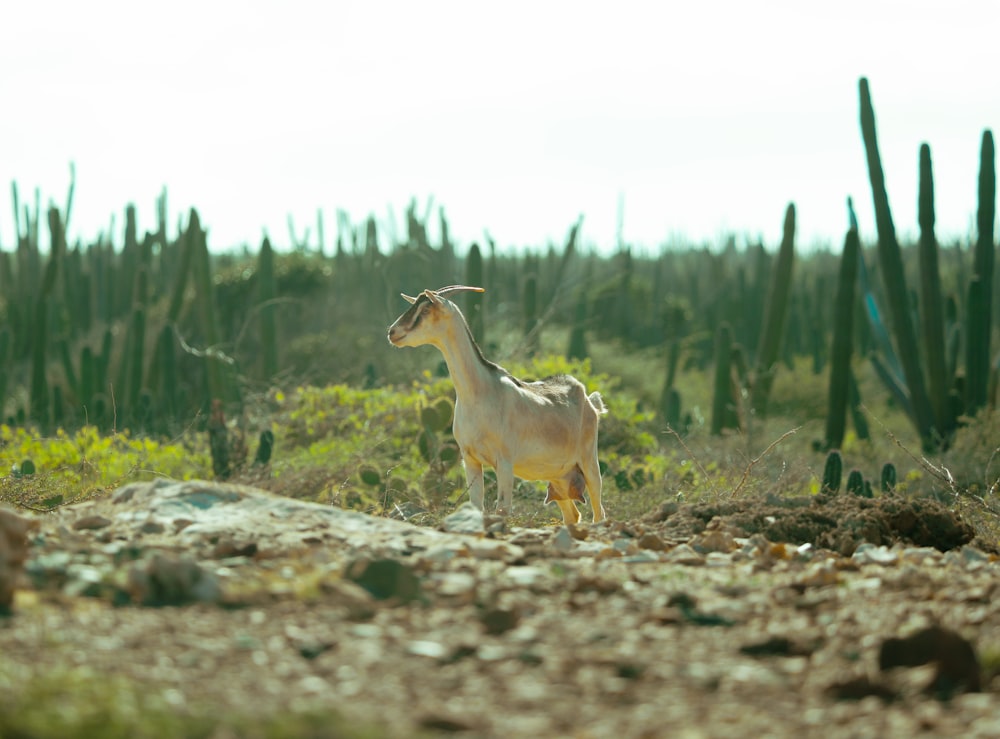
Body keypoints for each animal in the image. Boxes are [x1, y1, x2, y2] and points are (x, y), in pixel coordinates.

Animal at [384, 284, 604, 528]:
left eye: (425, 310)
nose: (392, 332)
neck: (480, 394)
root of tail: (590, 402)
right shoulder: (469, 459)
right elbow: (476, 506)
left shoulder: (505, 462)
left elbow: (502, 509)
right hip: (559, 478)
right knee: (572, 515)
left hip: (589, 463)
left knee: (599, 513)